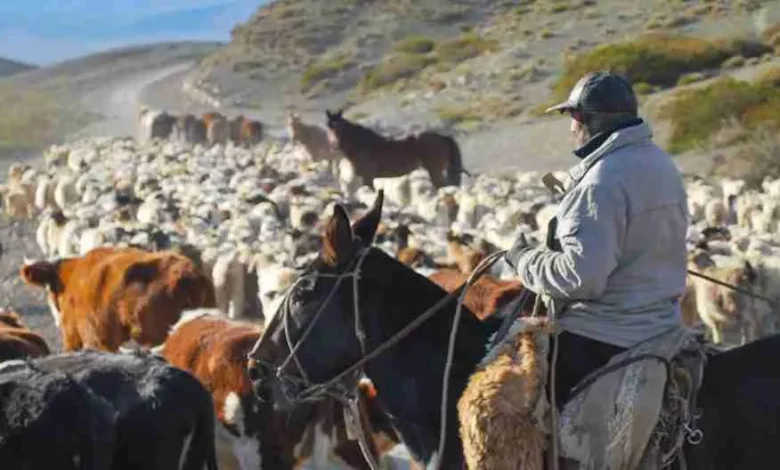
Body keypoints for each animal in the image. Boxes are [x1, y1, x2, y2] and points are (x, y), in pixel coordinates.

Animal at [325, 109, 468, 189]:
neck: (363, 145)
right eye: (328, 127)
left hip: (435, 171)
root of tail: (444, 137)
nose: (335, 145)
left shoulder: (368, 178)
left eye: (341, 127)